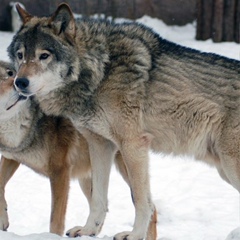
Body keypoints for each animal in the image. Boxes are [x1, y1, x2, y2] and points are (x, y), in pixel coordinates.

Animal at [0, 60, 158, 238]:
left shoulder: (60, 171)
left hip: (126, 170)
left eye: (10, 74)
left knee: (151, 207)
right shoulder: (10, 156)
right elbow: (0, 184)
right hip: (89, 177)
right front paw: (3, 219)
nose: (17, 83)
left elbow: (56, 219)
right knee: (102, 206)